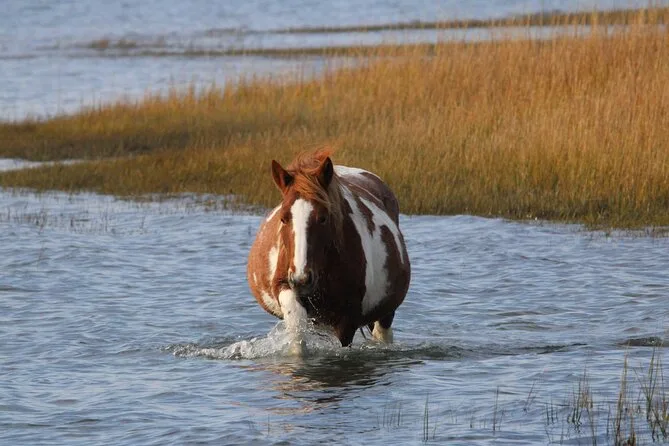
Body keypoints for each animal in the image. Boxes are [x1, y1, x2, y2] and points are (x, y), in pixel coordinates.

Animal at [246, 149, 411, 347]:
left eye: (323, 218)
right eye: (283, 218)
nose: (301, 279)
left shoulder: (347, 319)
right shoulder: (285, 288)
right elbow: (297, 332)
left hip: (384, 313)